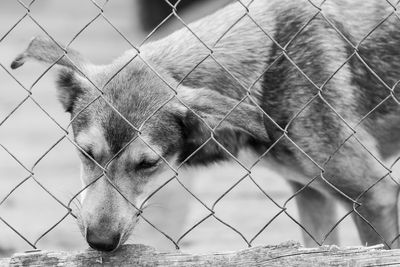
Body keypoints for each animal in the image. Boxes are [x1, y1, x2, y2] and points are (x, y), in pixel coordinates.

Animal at [10, 0, 400, 251]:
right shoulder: (310, 194)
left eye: (148, 164)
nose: (100, 243)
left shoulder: (375, 196)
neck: (268, 66)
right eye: (86, 154)